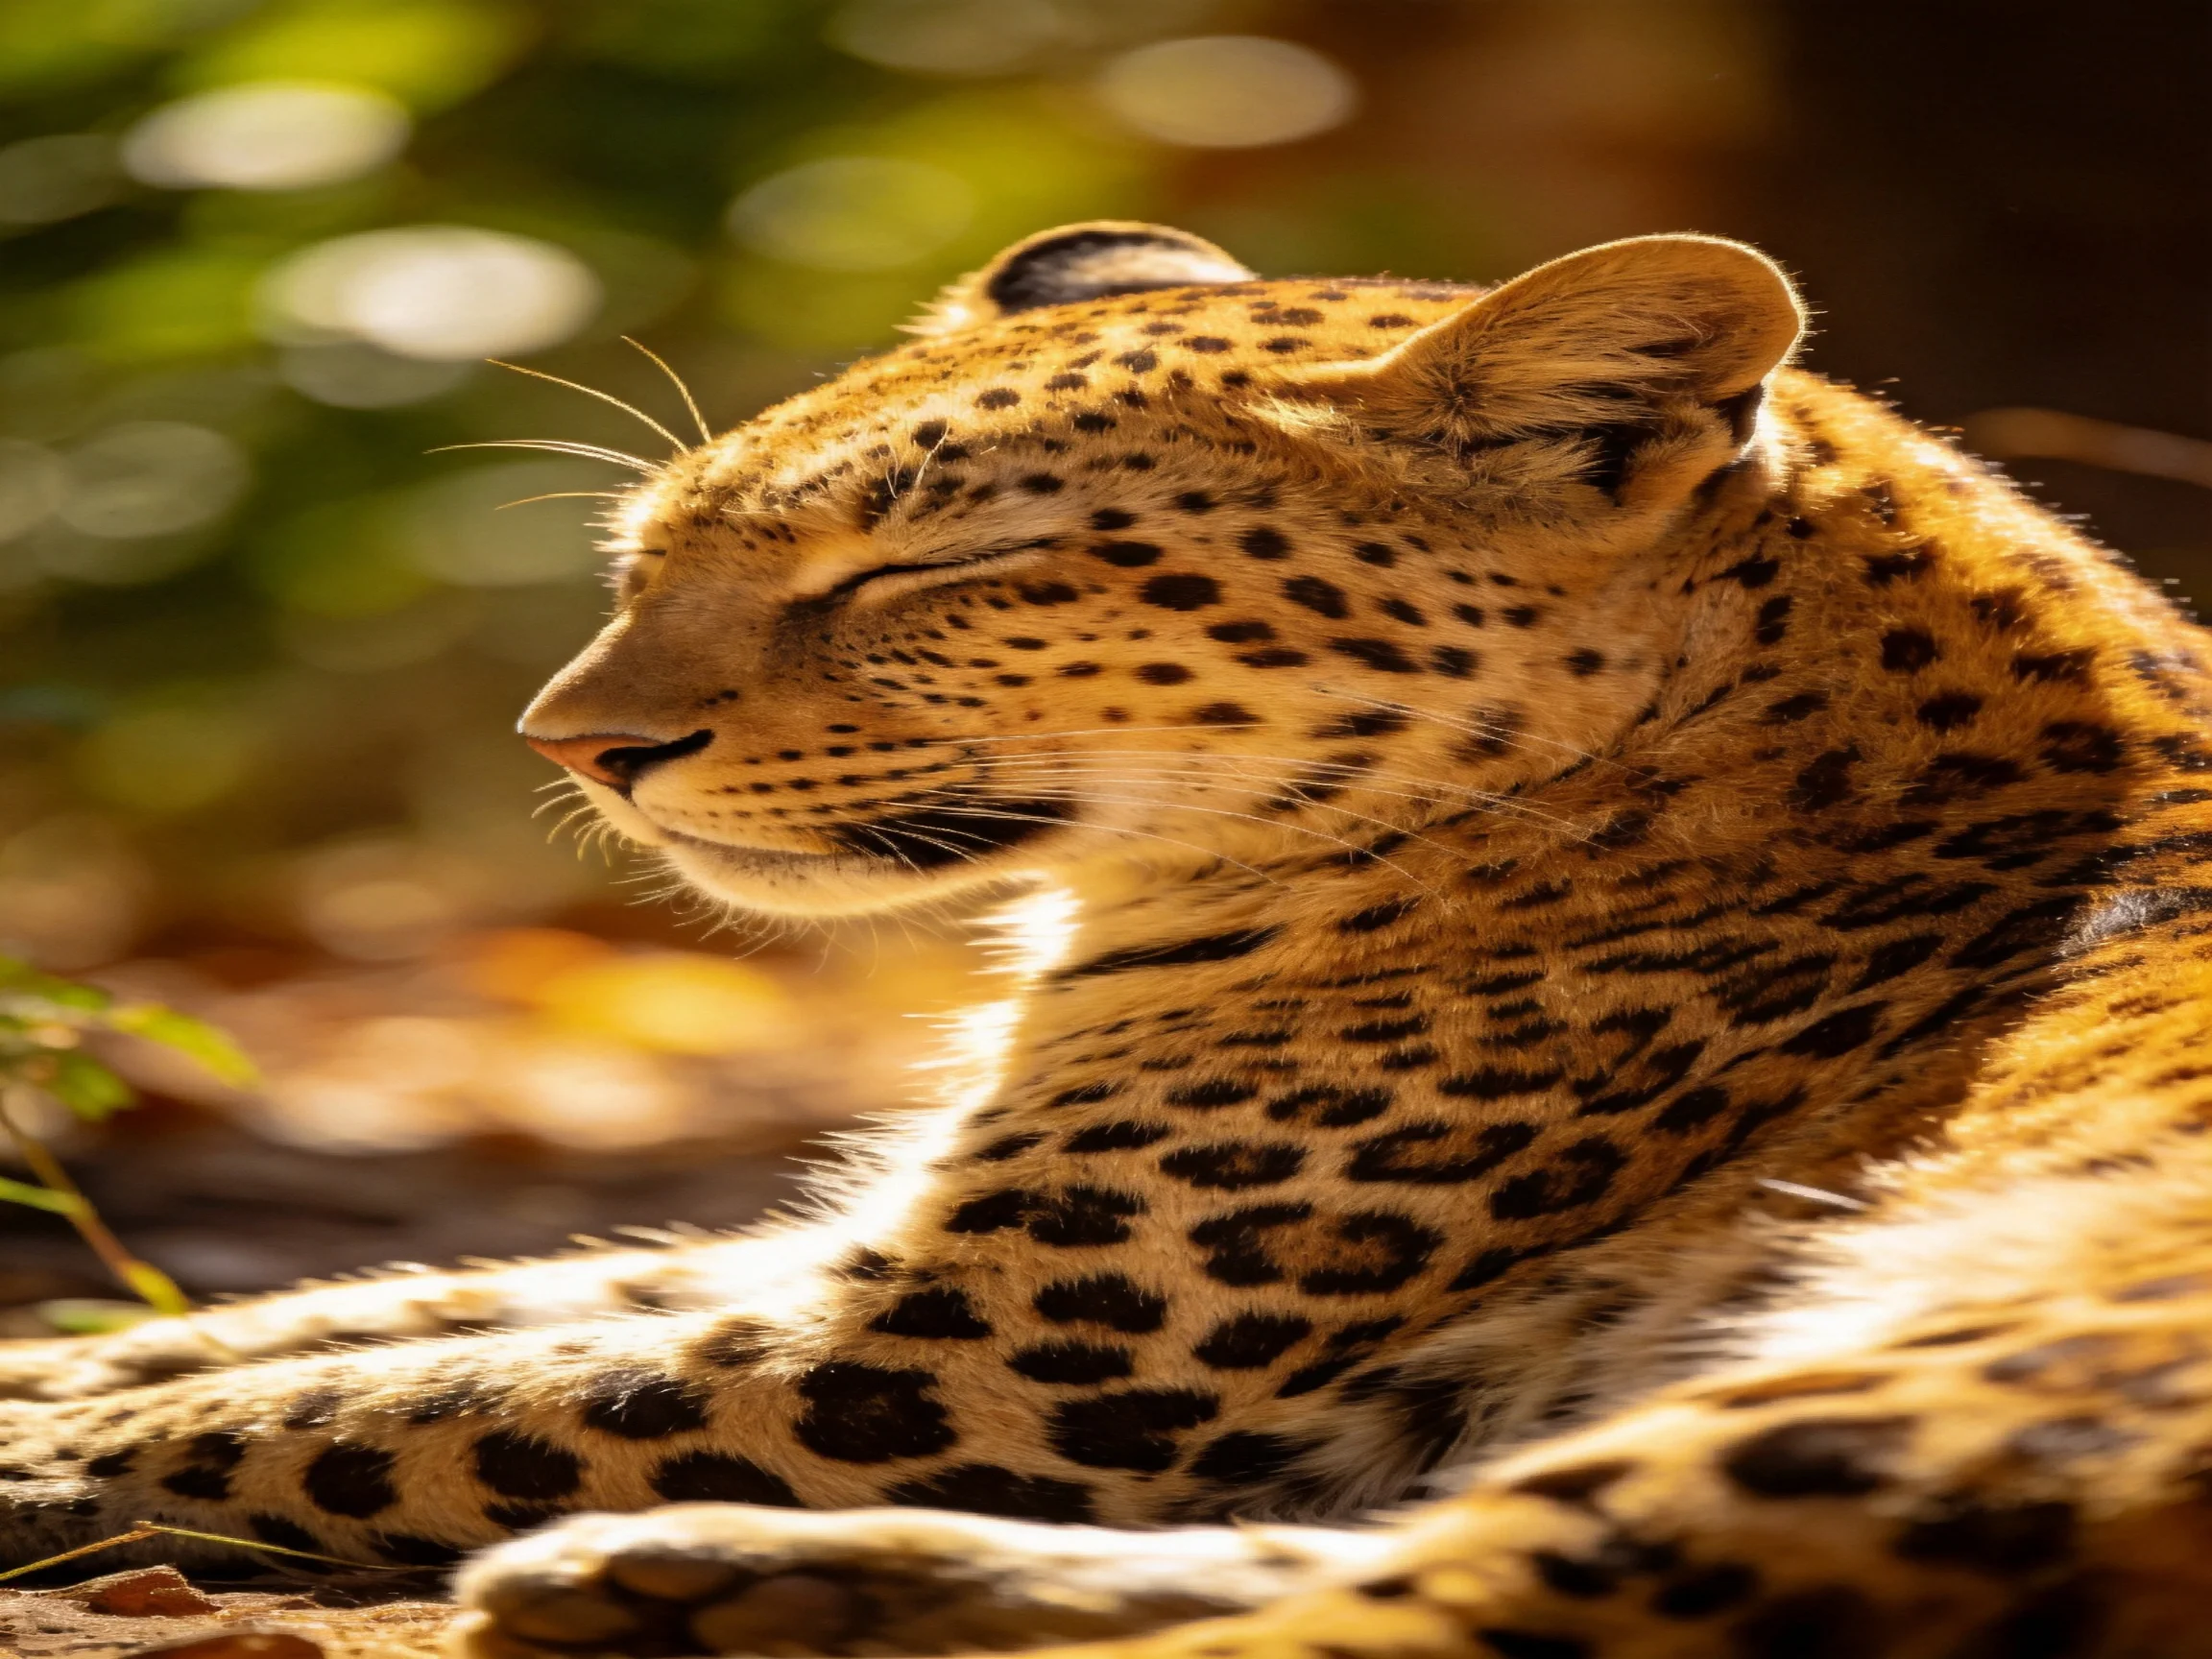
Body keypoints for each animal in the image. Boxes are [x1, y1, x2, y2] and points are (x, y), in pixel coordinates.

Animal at [3, 222, 2211, 1659]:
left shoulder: (968, 1349)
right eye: (646, 557)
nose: (575, 746)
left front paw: (39, 1454)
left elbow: (350, 1408)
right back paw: (734, 1588)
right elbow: (367, 1315)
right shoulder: (862, 1247)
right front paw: (57, 1374)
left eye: (928, 569)